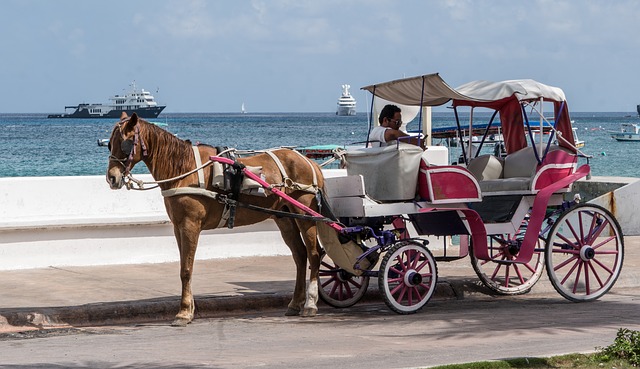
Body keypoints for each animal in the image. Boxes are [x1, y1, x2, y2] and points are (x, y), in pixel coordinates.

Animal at [106, 112, 324, 324]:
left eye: (126, 143)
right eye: (109, 144)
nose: (112, 178)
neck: (184, 169)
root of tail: (310, 162)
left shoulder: (190, 225)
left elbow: (186, 269)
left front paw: (183, 312)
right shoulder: (178, 227)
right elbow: (185, 266)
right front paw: (190, 308)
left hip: (305, 214)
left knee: (314, 254)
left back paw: (310, 304)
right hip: (284, 217)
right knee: (300, 255)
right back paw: (295, 303)